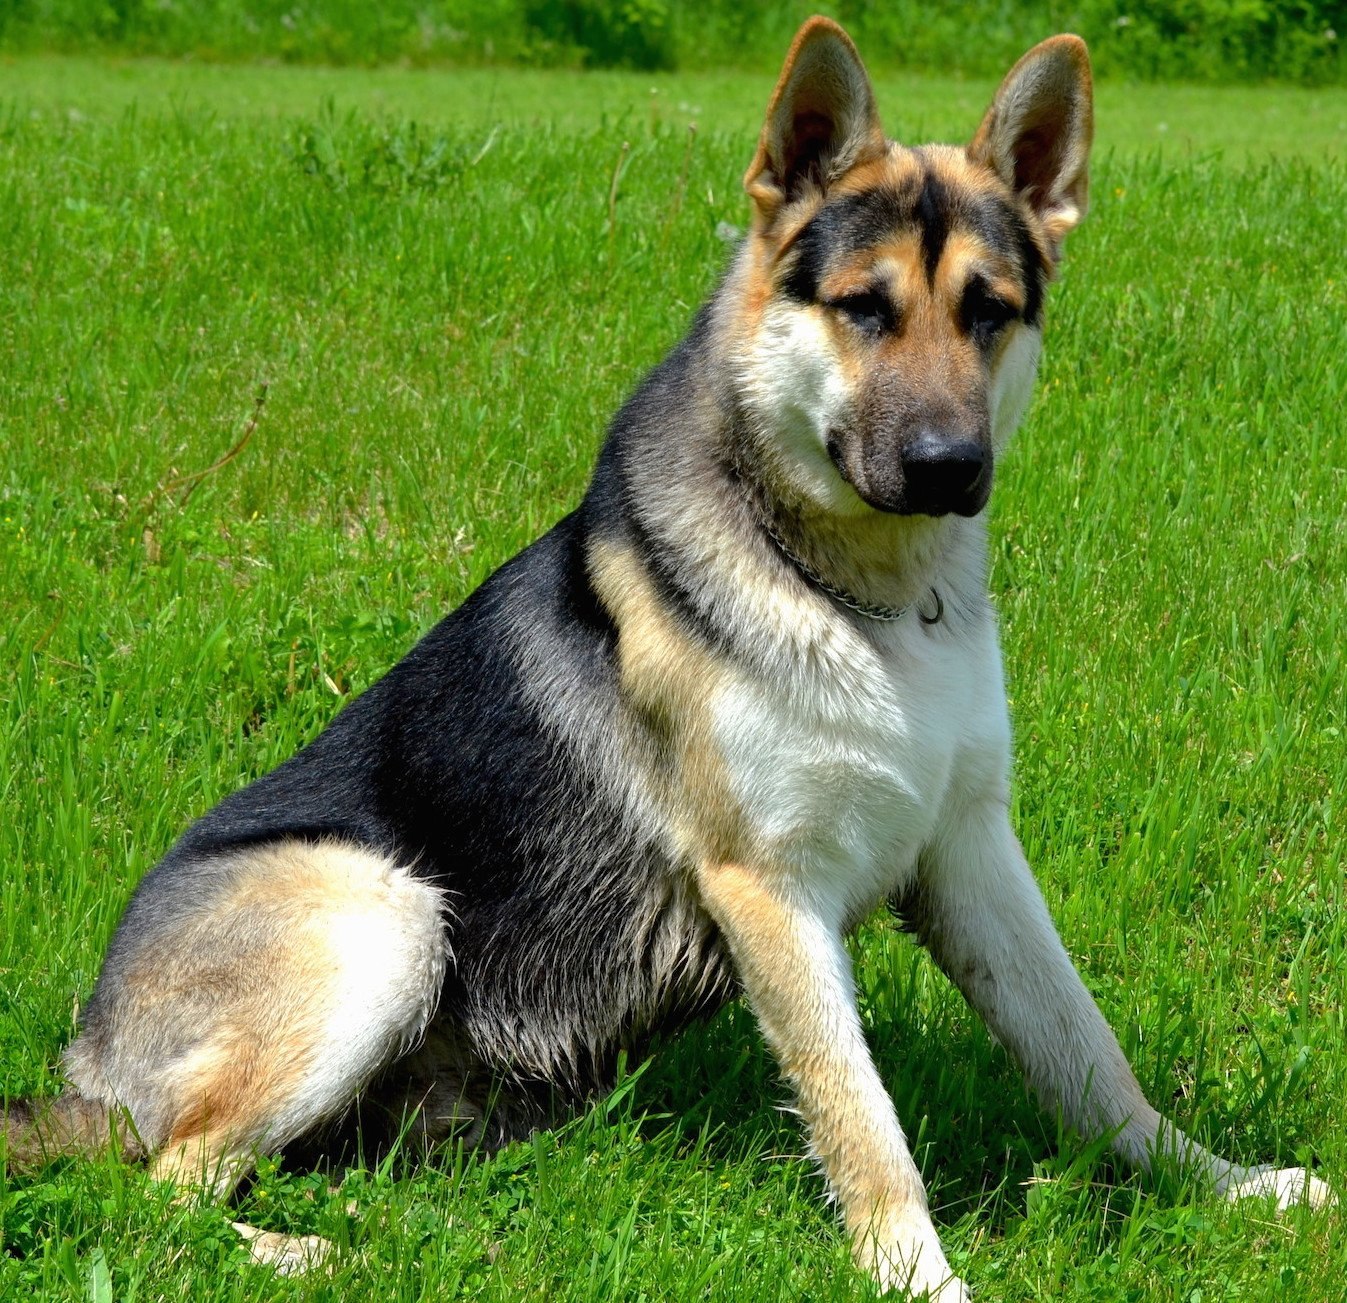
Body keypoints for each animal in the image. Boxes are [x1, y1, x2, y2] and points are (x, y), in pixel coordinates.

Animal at [5, 15, 1336, 1298]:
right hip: (383, 913)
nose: (950, 467)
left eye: (988, 312)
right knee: (164, 1186)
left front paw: (1218, 1183)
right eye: (864, 308)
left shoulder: (971, 854)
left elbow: (1088, 1053)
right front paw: (924, 1279)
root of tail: (89, 1062)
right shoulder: (771, 890)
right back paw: (309, 1253)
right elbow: (866, 1123)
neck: (862, 597)